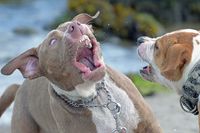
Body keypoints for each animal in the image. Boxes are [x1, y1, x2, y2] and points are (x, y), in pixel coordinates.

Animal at [0, 12, 162, 133]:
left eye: (70, 24)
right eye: (52, 42)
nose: (74, 26)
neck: (96, 98)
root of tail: (20, 87)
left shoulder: (150, 126)